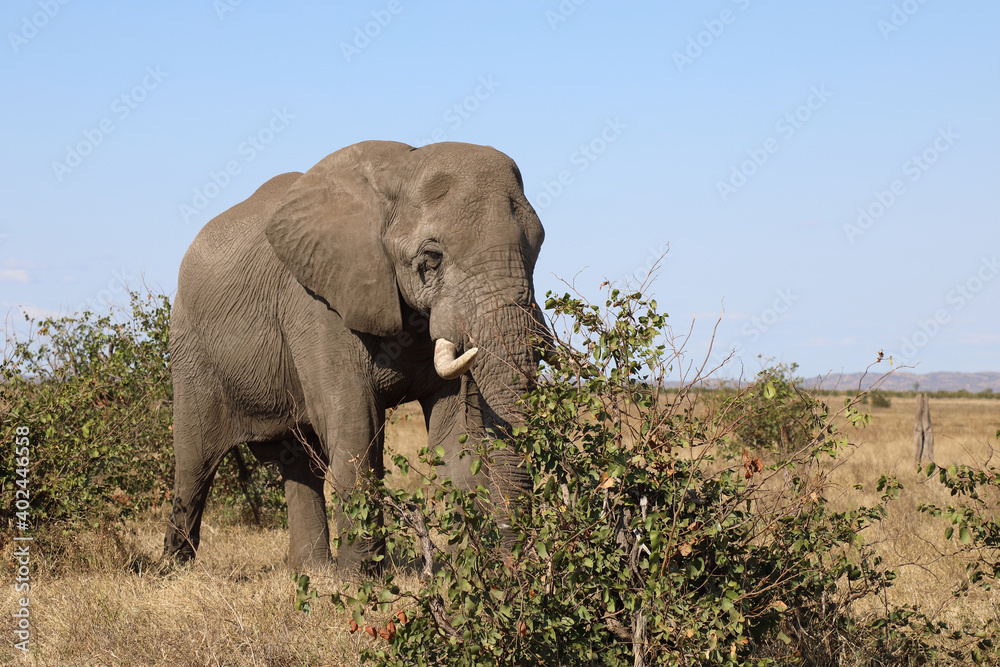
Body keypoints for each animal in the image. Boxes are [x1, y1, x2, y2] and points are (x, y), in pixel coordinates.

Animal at [163, 140, 548, 571]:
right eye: (431, 258)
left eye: (537, 247)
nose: (517, 563)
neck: (402, 169)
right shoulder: (317, 301)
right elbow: (354, 422)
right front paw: (361, 580)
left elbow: (454, 433)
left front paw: (465, 571)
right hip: (192, 350)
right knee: (195, 463)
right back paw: (172, 569)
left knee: (299, 462)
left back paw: (311, 572)